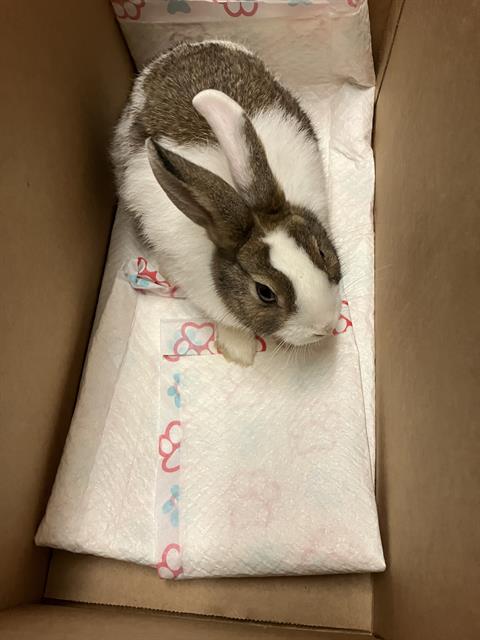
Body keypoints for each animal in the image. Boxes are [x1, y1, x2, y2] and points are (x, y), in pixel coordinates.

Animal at [112, 40, 341, 366]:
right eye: (264, 292)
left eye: (320, 251)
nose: (325, 326)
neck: (244, 204)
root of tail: (181, 49)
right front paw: (239, 351)